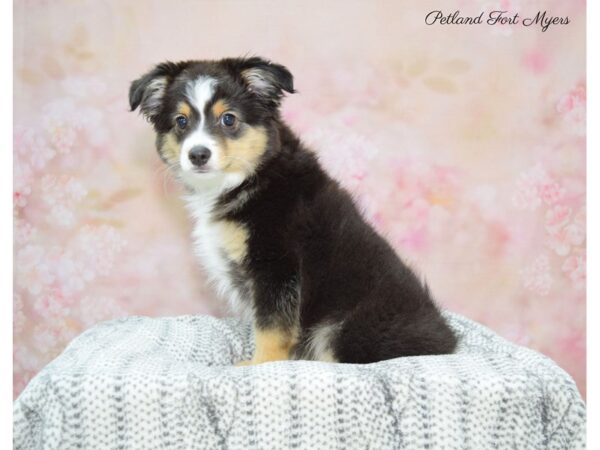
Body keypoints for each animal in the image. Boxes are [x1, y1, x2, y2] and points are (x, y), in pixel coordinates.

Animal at [129, 56, 458, 366]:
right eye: (181, 121)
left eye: (229, 119)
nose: (198, 155)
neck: (250, 177)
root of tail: (449, 342)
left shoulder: (276, 264)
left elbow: (272, 326)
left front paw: (261, 363)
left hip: (345, 327)